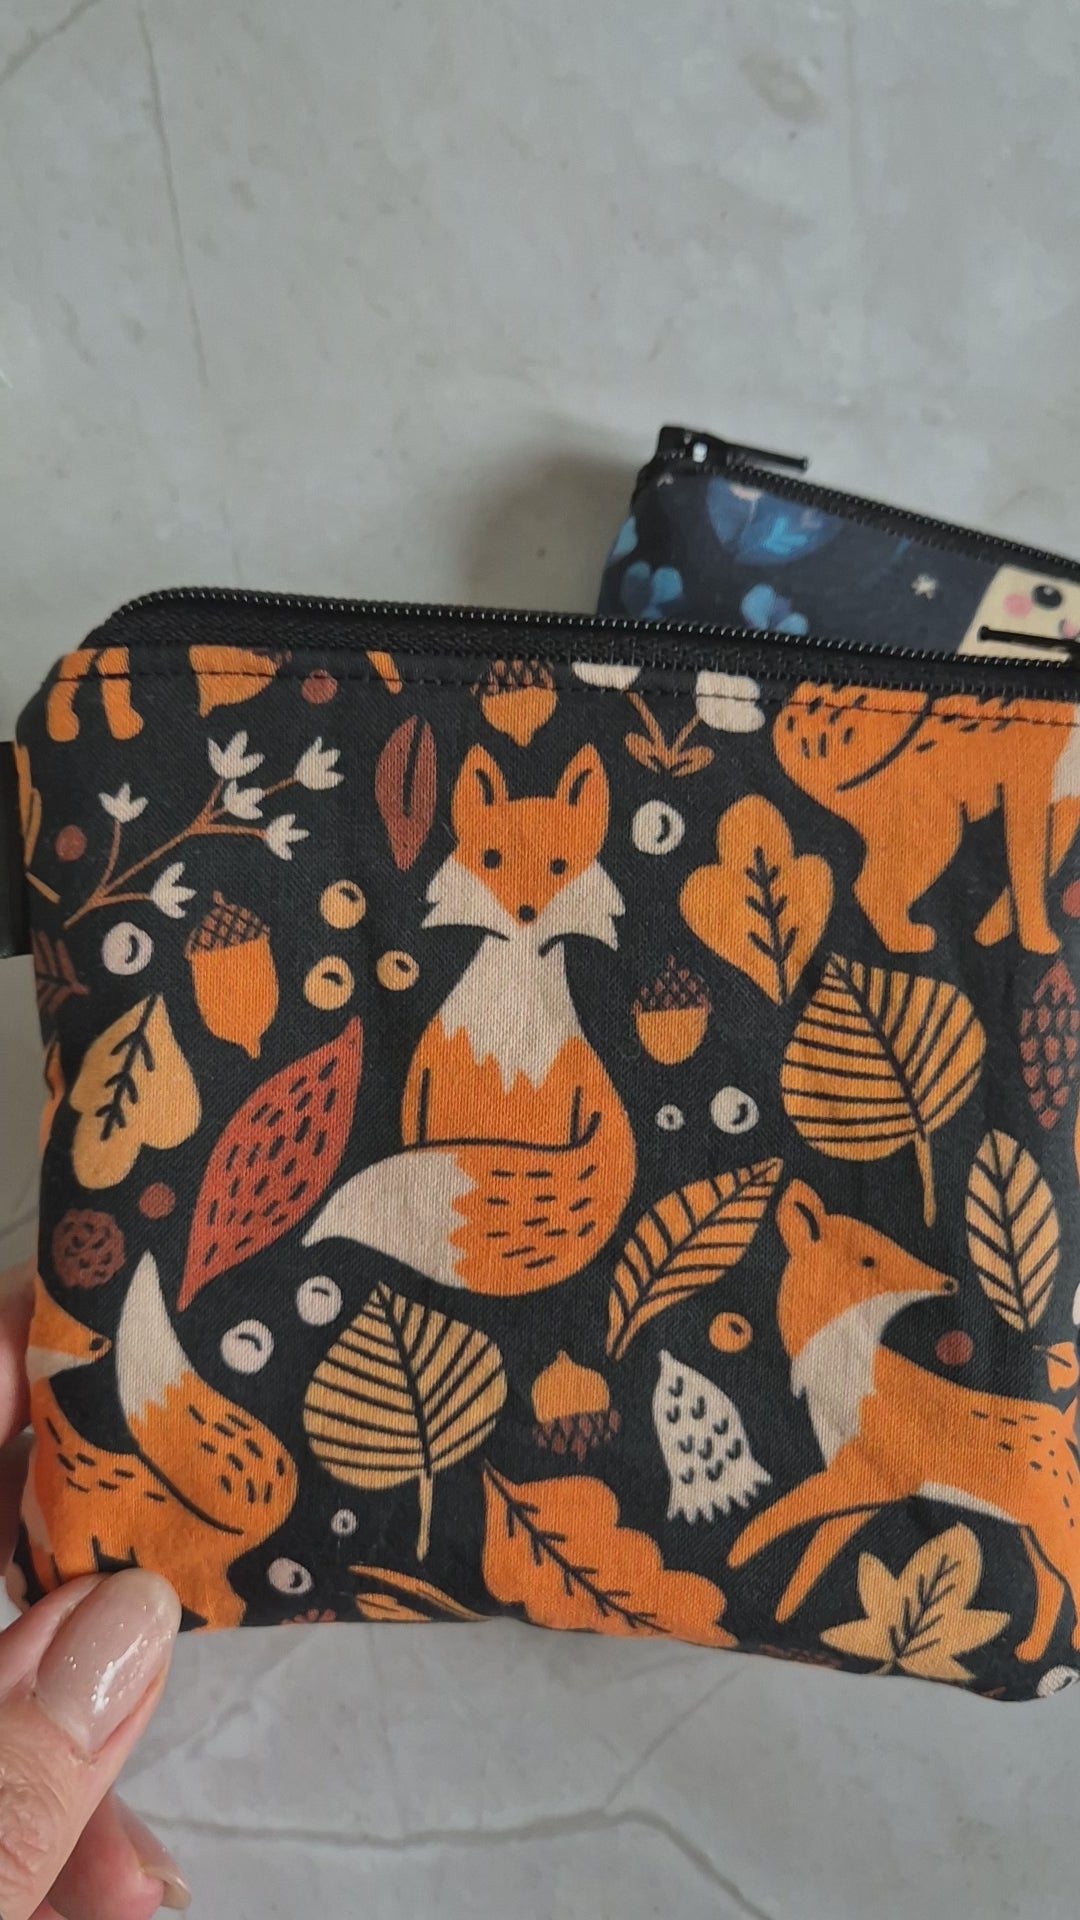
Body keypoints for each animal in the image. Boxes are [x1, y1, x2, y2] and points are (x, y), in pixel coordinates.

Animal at [729, 1181, 1080, 1663]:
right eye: (868, 1259)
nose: (948, 1282)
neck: (849, 1378)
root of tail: (1062, 1423)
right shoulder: (858, 1487)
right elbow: (813, 1549)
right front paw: (780, 1610)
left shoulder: (870, 1479)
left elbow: (787, 1509)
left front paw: (735, 1555)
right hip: (1034, 1536)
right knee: (1052, 1587)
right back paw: (1028, 1651)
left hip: (1053, 1531)